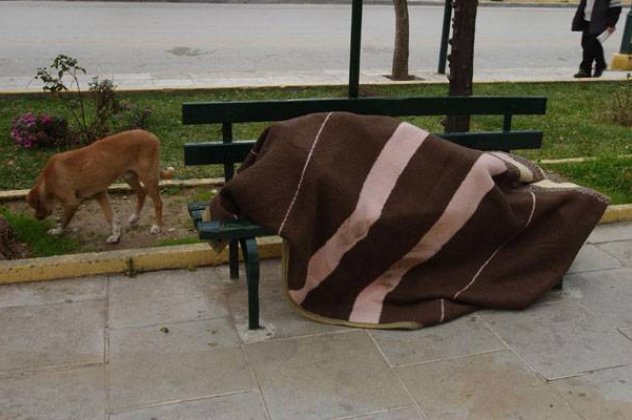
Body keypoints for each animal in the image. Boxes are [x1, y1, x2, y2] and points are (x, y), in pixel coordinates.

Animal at [26, 130, 174, 244]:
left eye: (35, 206)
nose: (35, 218)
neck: (47, 180)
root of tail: (151, 135)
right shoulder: (99, 193)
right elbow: (111, 217)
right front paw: (115, 235)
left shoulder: (71, 203)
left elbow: (63, 221)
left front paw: (57, 231)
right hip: (129, 176)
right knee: (141, 193)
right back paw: (134, 218)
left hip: (147, 176)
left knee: (158, 202)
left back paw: (156, 226)